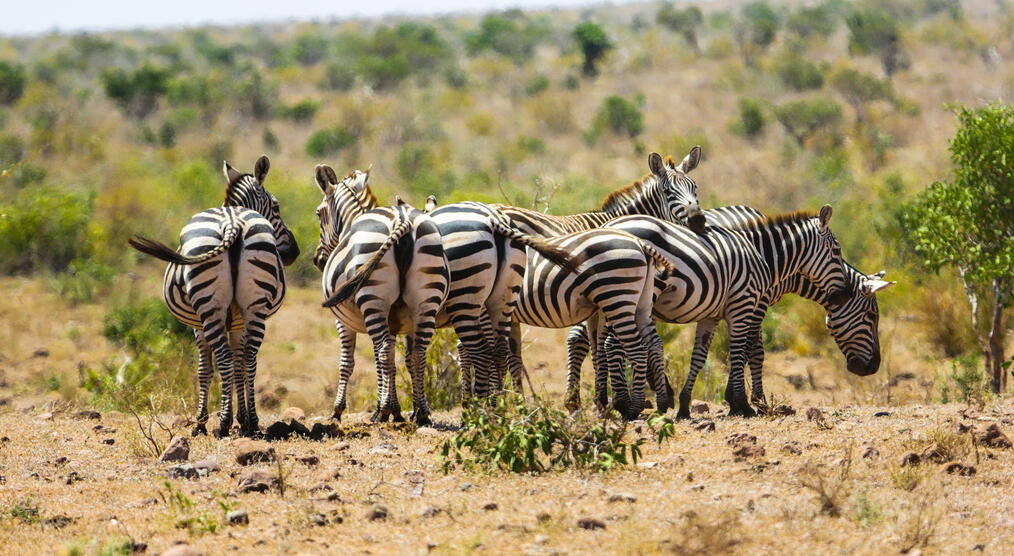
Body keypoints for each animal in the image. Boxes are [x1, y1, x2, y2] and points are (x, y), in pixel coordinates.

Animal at [126, 154, 296, 436]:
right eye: (277, 206)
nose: (294, 252)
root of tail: (233, 223)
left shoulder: (198, 324)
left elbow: (204, 368)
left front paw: (202, 421)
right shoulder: (238, 321)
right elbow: (238, 365)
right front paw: (243, 418)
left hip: (209, 307)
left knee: (224, 358)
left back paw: (223, 423)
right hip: (255, 305)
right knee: (249, 358)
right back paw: (252, 422)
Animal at [312, 166, 575, 426]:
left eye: (318, 213)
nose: (318, 260)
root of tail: (494, 220)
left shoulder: (353, 318)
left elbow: (355, 361)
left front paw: (350, 410)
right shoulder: (404, 319)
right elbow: (407, 359)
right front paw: (404, 410)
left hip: (462, 299)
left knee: (479, 351)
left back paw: (481, 411)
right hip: (500, 298)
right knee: (498, 351)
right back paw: (495, 410)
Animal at [507, 226, 681, 418]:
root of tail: (639, 242)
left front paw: (498, 403)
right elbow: (513, 361)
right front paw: (516, 404)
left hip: (617, 297)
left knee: (637, 350)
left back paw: (634, 408)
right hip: (641, 302)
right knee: (655, 344)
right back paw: (661, 403)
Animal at [563, 203, 896, 411]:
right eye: (871, 316)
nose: (872, 367)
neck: (768, 257)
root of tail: (609, 224)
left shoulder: (725, 308)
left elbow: (710, 354)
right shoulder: (753, 303)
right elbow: (751, 350)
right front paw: (750, 401)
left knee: (594, 341)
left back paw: (603, 399)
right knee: (609, 343)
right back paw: (620, 401)